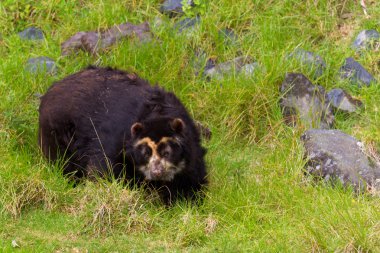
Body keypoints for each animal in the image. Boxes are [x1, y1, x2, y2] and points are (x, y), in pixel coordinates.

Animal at [38, 66, 208, 205]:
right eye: (146, 153)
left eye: (167, 152)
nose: (157, 172)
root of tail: (52, 88)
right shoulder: (115, 140)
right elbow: (103, 168)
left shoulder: (191, 152)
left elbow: (191, 181)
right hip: (59, 132)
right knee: (63, 161)